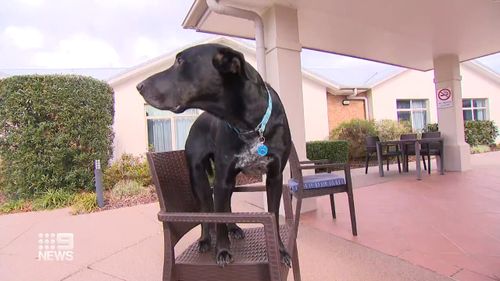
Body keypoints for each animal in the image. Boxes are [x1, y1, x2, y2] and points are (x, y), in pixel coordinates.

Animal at [137, 43, 292, 264]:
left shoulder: (274, 178)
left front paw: (280, 250)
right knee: (206, 210)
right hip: (198, 177)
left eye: (180, 61)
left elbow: (273, 214)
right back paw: (205, 239)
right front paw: (223, 250)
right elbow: (217, 217)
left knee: (226, 206)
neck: (251, 123)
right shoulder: (221, 179)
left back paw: (234, 228)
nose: (139, 86)